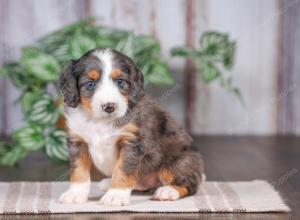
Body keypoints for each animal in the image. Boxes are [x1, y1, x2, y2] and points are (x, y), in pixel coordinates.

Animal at [58, 48, 204, 206]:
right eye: (90, 84)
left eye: (120, 81)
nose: (109, 106)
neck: (101, 122)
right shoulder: (77, 141)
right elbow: (79, 170)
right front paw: (75, 193)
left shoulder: (132, 142)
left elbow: (123, 169)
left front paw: (116, 195)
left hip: (178, 162)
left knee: (190, 183)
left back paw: (168, 191)